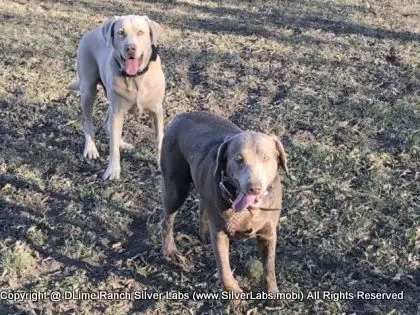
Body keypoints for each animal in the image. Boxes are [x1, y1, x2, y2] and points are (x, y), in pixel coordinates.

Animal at [159, 112, 288, 300]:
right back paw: (171, 252)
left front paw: (273, 296)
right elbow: (224, 270)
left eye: (266, 158)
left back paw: (204, 233)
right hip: (176, 188)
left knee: (203, 204)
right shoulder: (220, 233)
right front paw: (235, 296)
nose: (254, 187)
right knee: (167, 219)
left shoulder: (268, 233)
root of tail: (181, 116)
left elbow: (269, 267)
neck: (248, 211)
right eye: (239, 159)